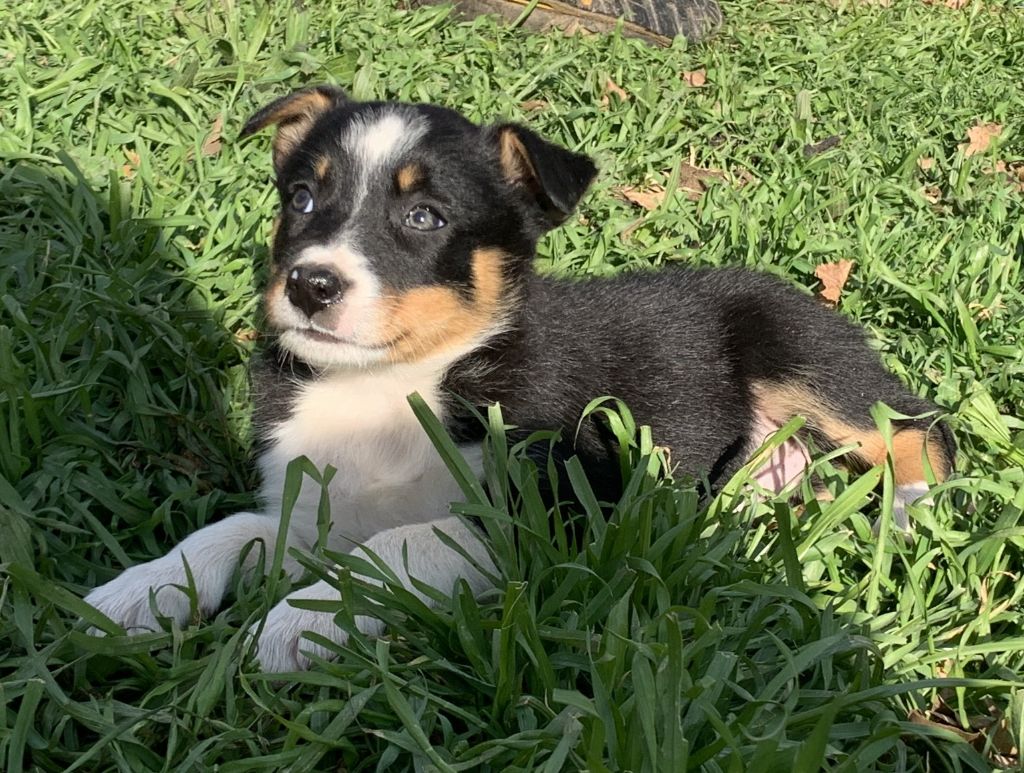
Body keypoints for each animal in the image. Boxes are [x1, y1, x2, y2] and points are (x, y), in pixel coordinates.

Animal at [84, 85, 955, 671]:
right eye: (300, 197)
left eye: (424, 217)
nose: (309, 284)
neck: (388, 380)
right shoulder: (319, 499)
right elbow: (231, 529)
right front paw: (133, 594)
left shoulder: (557, 510)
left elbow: (403, 540)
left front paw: (300, 618)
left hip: (801, 355)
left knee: (919, 424)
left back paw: (910, 511)